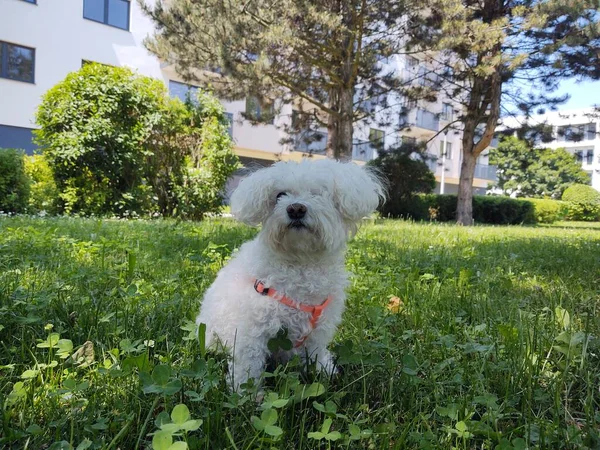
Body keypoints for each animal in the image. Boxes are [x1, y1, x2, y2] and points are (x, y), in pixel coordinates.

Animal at [197, 159, 384, 390]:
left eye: (318, 193)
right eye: (280, 195)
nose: (295, 209)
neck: (301, 263)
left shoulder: (319, 330)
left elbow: (316, 353)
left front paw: (324, 371)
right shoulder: (250, 332)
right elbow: (248, 366)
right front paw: (246, 393)